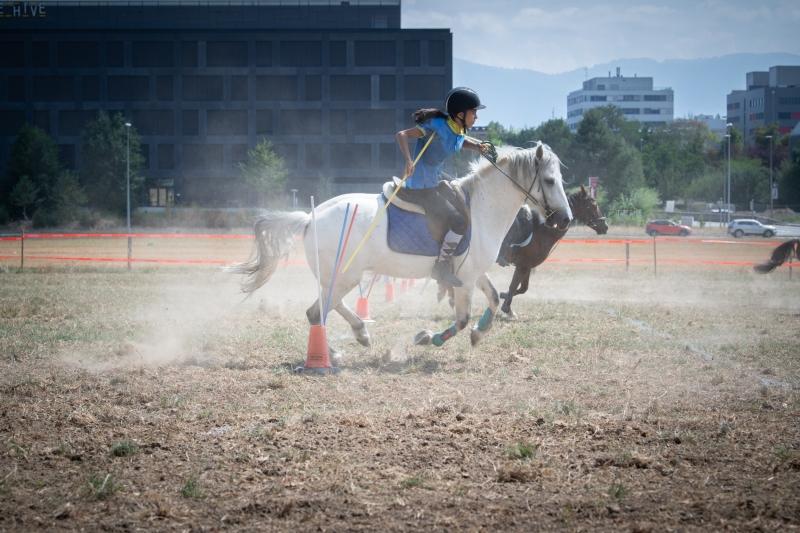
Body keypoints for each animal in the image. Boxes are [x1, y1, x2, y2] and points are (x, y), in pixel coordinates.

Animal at [228, 141, 572, 350]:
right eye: (550, 181)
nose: (566, 219)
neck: (481, 207)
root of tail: (310, 217)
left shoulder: (473, 274)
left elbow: (494, 300)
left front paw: (478, 333)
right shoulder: (464, 280)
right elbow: (461, 318)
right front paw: (429, 338)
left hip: (341, 277)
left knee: (327, 307)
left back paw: (361, 333)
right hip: (345, 276)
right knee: (317, 312)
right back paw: (334, 352)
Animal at [496, 185, 608, 314]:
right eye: (593, 205)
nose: (605, 226)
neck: (543, 230)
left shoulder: (527, 266)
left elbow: (522, 289)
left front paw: (504, 296)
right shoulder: (522, 266)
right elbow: (513, 286)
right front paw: (506, 307)